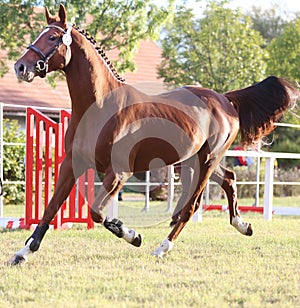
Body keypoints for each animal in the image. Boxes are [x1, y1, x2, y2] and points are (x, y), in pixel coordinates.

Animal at [9, 4, 298, 264]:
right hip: (193, 161)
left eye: (53, 37)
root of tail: (224, 100)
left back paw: (162, 248)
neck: (101, 106)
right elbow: (50, 208)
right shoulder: (71, 164)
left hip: (205, 161)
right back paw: (242, 224)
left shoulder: (119, 173)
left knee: (191, 206)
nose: (20, 67)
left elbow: (97, 212)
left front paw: (133, 235)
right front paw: (23, 253)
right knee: (228, 179)